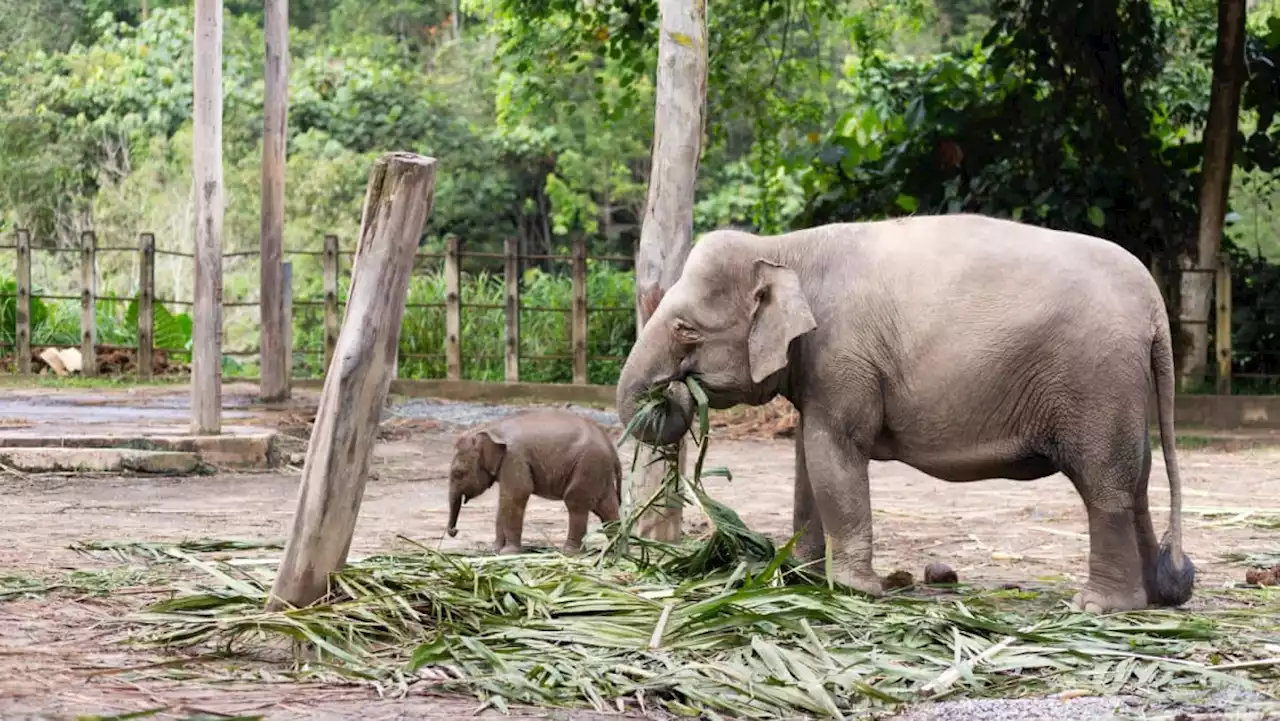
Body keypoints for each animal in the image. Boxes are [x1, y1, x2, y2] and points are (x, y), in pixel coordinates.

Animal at [445, 409, 624, 555]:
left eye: (458, 473)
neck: (491, 428)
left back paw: (569, 552)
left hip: (587, 466)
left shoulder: (515, 458)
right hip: (598, 472)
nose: (454, 531)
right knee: (607, 507)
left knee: (576, 503)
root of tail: (612, 447)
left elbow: (515, 495)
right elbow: (504, 501)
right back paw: (614, 550)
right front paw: (495, 550)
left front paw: (508, 552)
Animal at [614, 213, 1192, 614]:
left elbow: (834, 452)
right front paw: (800, 576)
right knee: (1136, 482)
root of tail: (1153, 303)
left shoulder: (844, 354)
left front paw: (853, 589)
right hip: (1123, 387)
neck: (782, 246)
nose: (673, 392)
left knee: (1104, 486)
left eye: (686, 328)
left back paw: (1099, 606)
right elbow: (808, 456)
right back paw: (1157, 598)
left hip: (1096, 381)